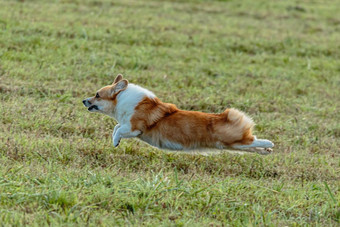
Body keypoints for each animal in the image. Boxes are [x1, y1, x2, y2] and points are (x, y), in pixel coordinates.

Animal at [83, 74, 274, 152]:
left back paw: (270, 143)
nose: (84, 100)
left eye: (97, 95)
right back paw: (265, 151)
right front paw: (115, 142)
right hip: (233, 145)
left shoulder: (134, 128)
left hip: (232, 140)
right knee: (253, 145)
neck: (121, 99)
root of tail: (223, 116)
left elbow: (118, 129)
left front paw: (115, 141)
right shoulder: (127, 126)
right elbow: (116, 127)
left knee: (253, 140)